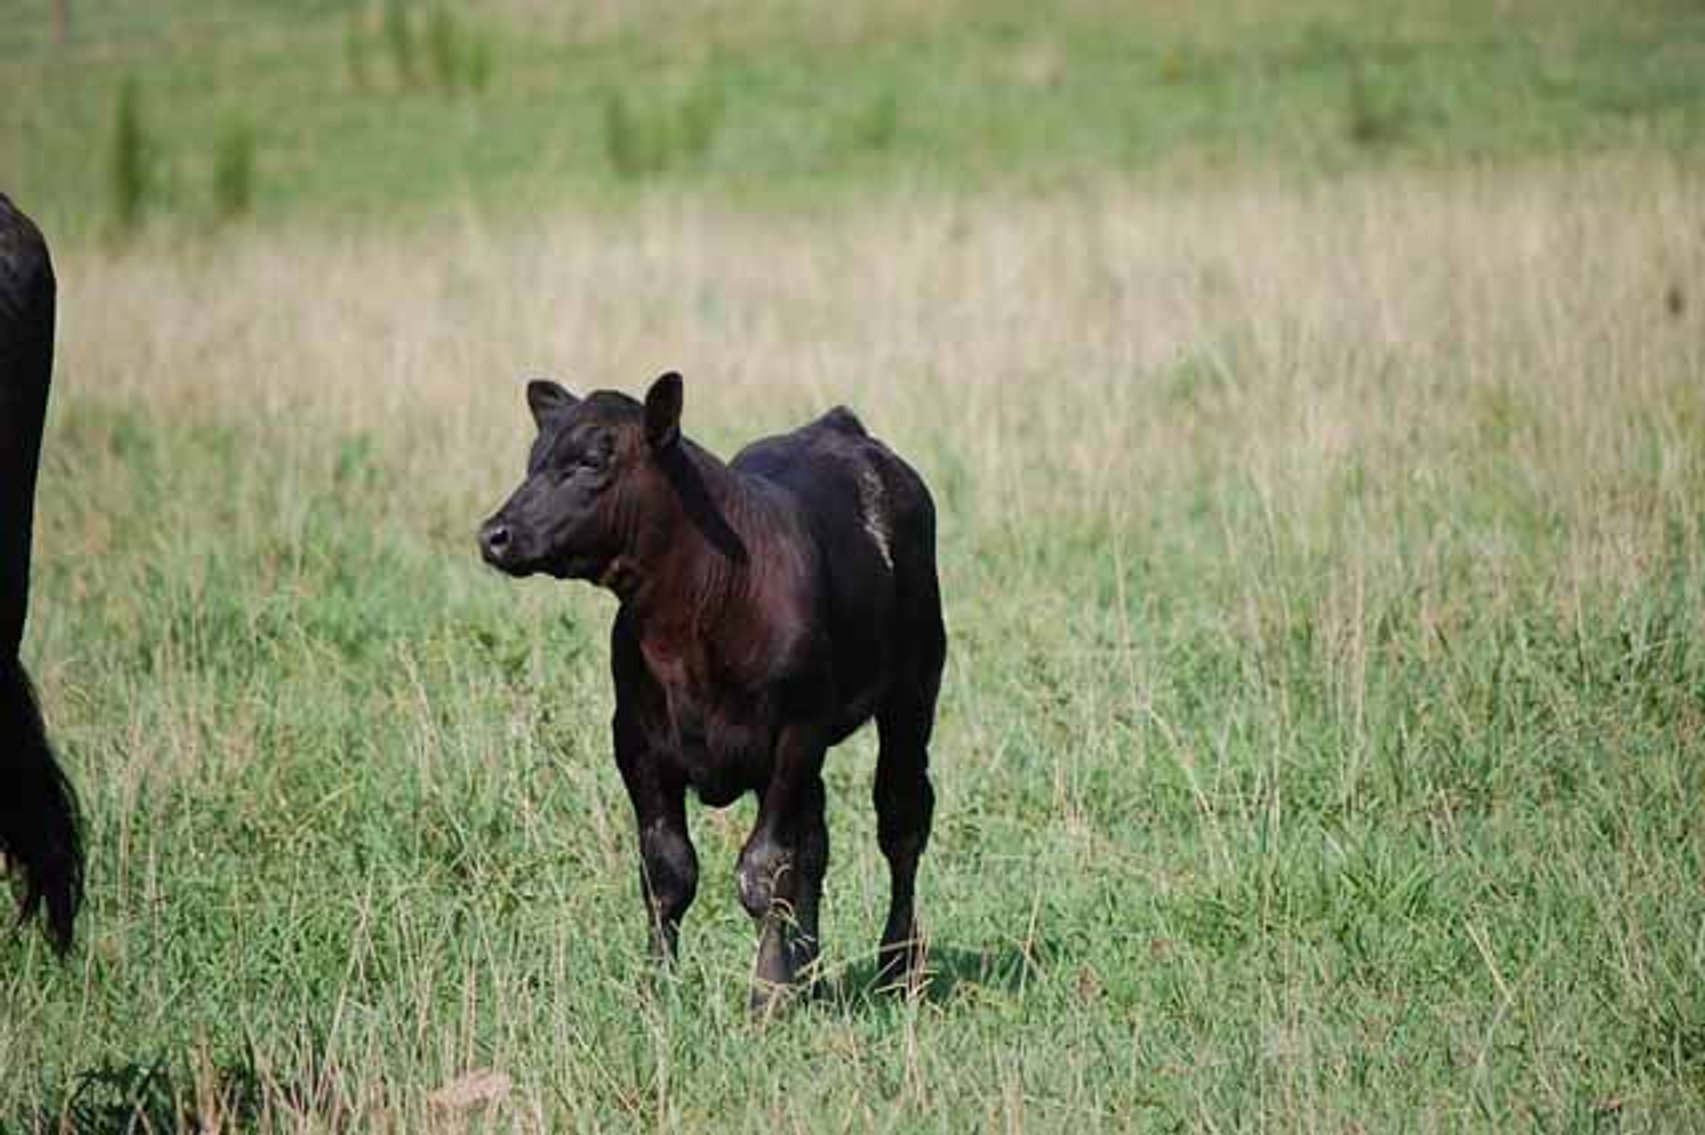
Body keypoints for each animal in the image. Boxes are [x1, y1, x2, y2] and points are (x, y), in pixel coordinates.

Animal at [479, 372, 945, 1014]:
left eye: (593, 460)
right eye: (533, 459)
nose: (494, 535)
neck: (694, 619)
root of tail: (840, 426)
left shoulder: (793, 736)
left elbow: (766, 866)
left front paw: (768, 992)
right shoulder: (637, 743)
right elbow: (668, 871)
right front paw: (657, 987)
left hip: (913, 690)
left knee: (901, 821)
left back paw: (896, 965)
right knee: (817, 840)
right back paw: (810, 965)